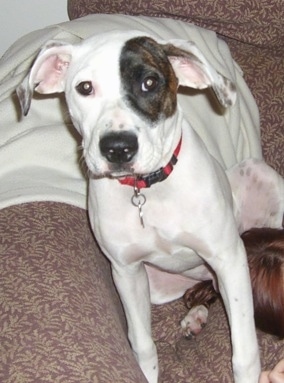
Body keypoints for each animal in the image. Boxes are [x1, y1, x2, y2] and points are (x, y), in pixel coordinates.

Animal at [15, 30, 284, 383]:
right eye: (85, 88)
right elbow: (142, 345)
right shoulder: (127, 272)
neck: (147, 189)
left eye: (150, 82)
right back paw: (195, 315)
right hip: (158, 284)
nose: (118, 148)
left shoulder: (229, 259)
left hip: (259, 183)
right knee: (204, 289)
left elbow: (244, 352)